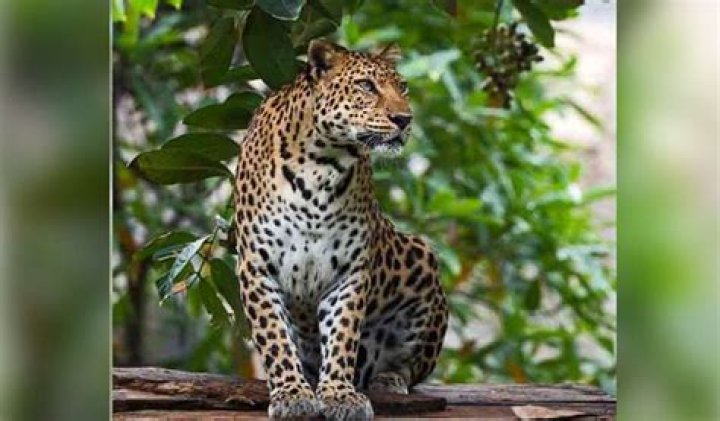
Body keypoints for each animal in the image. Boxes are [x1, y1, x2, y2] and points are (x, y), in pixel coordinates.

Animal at [233, 39, 448, 420]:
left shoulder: (349, 271)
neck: (321, 164)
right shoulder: (257, 267)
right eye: (366, 86)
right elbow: (274, 336)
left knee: (412, 366)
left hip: (423, 260)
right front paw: (291, 394)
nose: (404, 119)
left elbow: (342, 335)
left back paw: (388, 379)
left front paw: (339, 395)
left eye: (402, 87)